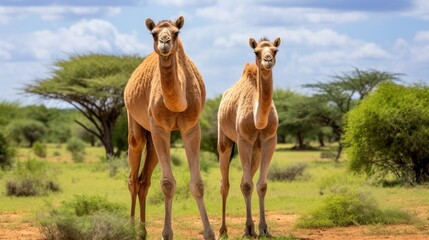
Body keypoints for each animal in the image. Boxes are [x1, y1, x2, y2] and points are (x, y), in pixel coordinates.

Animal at [123, 15, 216, 239]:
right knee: (133, 178)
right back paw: (131, 229)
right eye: (153, 33)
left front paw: (209, 233)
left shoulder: (191, 128)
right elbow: (167, 184)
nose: (164, 42)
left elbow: (197, 184)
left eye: (176, 33)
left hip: (152, 138)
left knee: (144, 181)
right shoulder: (160, 128)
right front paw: (167, 233)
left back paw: (143, 231)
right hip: (136, 124)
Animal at [217, 36, 280, 237]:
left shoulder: (270, 141)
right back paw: (223, 231)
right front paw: (249, 229)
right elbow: (246, 185)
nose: (268, 60)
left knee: (248, 181)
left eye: (275, 50)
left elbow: (261, 185)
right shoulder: (243, 140)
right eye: (256, 52)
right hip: (224, 139)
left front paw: (263, 229)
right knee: (225, 184)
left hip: (256, 149)